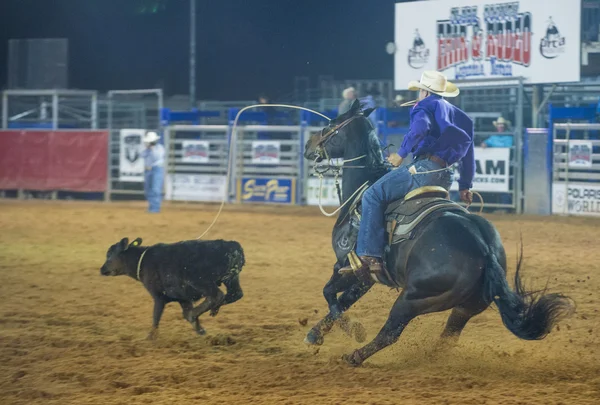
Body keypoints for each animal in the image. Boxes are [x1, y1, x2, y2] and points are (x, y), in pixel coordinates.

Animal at [101, 237, 244, 338]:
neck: (142, 261)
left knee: (217, 295)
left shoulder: (158, 296)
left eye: (109, 255)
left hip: (201, 281)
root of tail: (232, 246)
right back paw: (213, 309)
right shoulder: (183, 298)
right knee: (235, 294)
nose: (102, 269)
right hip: (231, 278)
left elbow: (156, 316)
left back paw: (197, 312)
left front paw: (150, 337)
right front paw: (201, 330)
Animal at [302, 100, 576, 366]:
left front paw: (353, 330)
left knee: (391, 332)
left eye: (330, 125)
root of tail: (483, 247)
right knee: (448, 337)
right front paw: (315, 334)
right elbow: (343, 300)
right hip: (468, 305)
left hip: (414, 298)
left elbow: (329, 294)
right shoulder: (365, 276)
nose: (307, 145)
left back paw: (355, 355)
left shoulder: (345, 265)